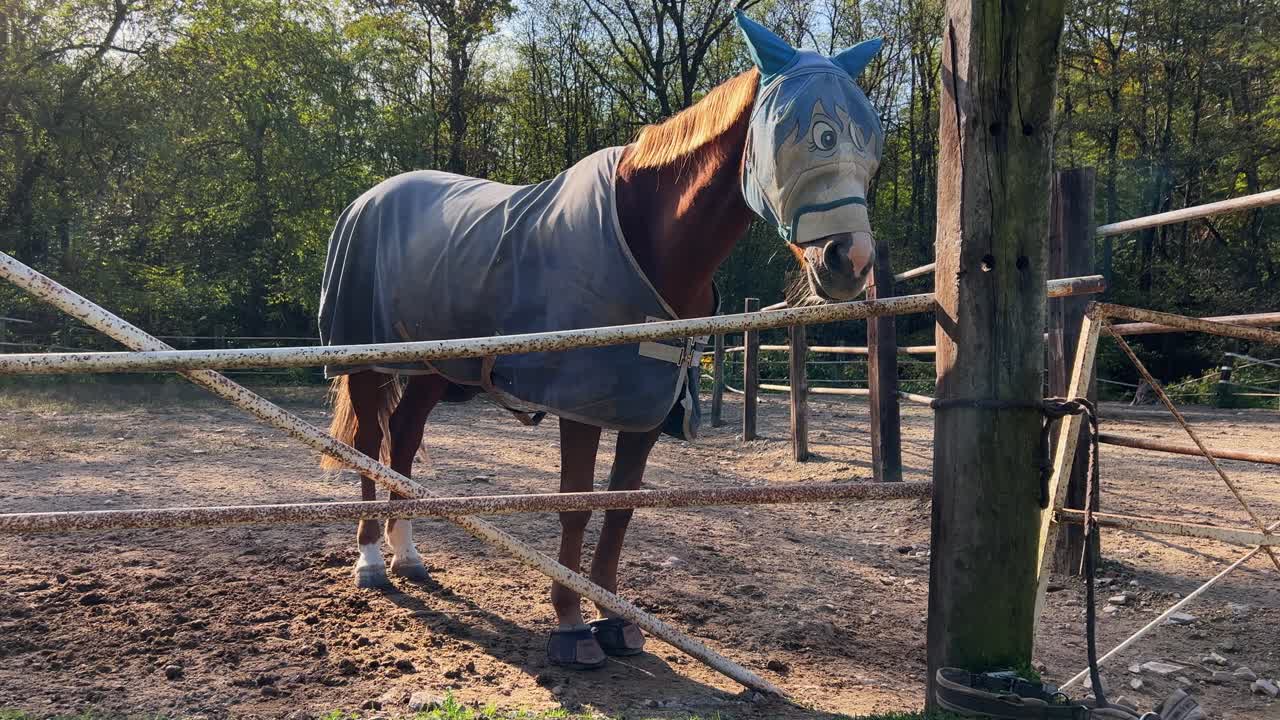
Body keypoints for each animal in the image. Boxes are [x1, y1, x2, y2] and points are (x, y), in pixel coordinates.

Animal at [318, 12, 886, 670]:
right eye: (814, 136)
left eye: (870, 147)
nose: (851, 260)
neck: (648, 240)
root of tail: (368, 199)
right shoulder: (582, 407)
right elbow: (576, 506)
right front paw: (569, 626)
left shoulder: (646, 410)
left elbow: (620, 510)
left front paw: (616, 622)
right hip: (367, 365)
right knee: (367, 443)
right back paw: (372, 562)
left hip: (434, 372)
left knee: (403, 443)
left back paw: (409, 555)